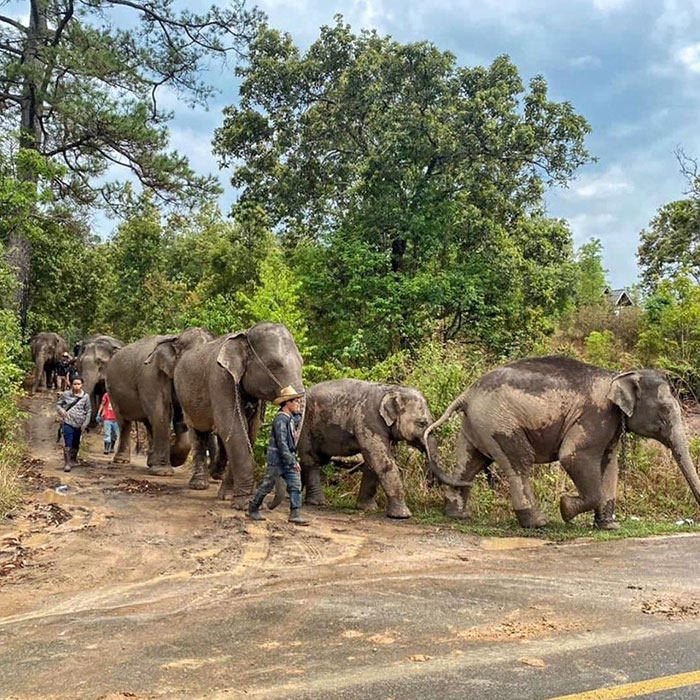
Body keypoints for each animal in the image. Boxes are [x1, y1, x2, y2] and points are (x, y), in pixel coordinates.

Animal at [106, 328, 214, 475]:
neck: (175, 339)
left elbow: (180, 418)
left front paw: (174, 459)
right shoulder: (151, 375)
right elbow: (162, 412)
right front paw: (164, 471)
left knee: (148, 423)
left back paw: (151, 462)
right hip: (111, 391)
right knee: (124, 422)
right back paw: (122, 461)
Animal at [173, 322, 304, 508]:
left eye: (302, 362)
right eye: (274, 365)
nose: (268, 505)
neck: (244, 334)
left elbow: (251, 429)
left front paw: (228, 496)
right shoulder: (220, 379)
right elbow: (233, 426)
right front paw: (245, 504)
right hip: (185, 399)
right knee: (197, 431)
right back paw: (199, 485)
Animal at [271, 379, 467, 519]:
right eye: (422, 423)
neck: (392, 389)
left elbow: (374, 463)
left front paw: (367, 508)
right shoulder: (369, 420)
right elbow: (382, 461)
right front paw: (402, 515)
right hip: (305, 426)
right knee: (311, 460)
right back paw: (317, 503)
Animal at [424, 355, 700, 530]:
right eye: (665, 412)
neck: (619, 376)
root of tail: (467, 394)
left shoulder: (609, 424)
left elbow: (609, 465)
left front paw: (609, 526)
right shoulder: (595, 416)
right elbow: (573, 456)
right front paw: (566, 508)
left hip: (478, 425)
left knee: (470, 463)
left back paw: (457, 514)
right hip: (499, 422)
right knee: (519, 462)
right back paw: (538, 523)